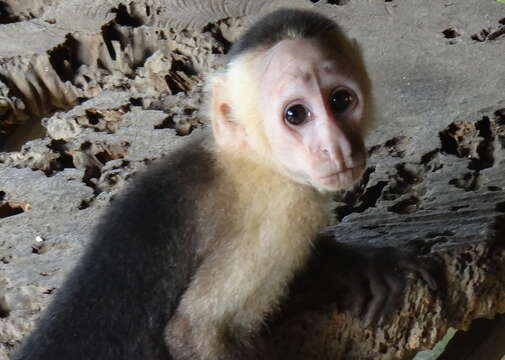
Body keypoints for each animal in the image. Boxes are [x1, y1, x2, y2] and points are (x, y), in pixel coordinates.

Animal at [10, 7, 434, 360]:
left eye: (341, 100)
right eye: (296, 115)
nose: (337, 147)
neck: (255, 160)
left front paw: (361, 262)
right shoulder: (284, 212)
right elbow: (194, 331)